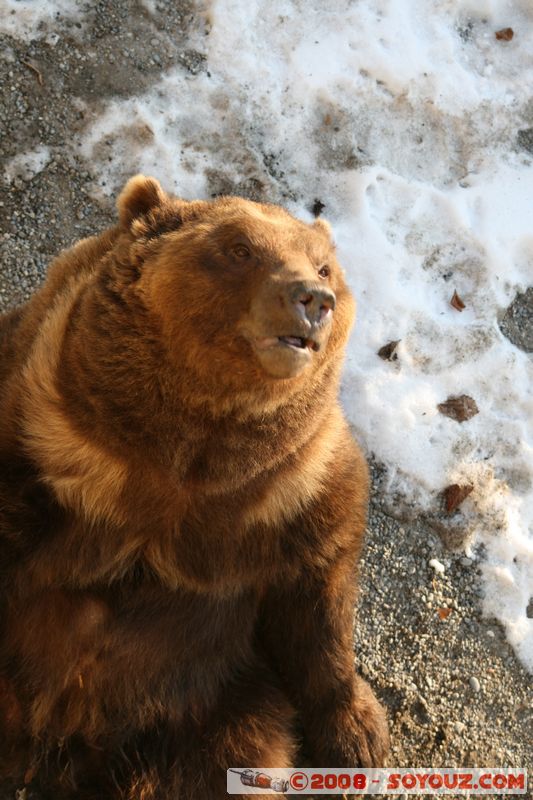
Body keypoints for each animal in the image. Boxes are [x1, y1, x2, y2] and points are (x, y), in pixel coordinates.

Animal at [0, 177, 388, 800]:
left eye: (325, 266)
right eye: (240, 248)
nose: (313, 299)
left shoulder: (291, 491)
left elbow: (320, 600)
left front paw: (359, 738)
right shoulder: (40, 429)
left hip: (212, 709)